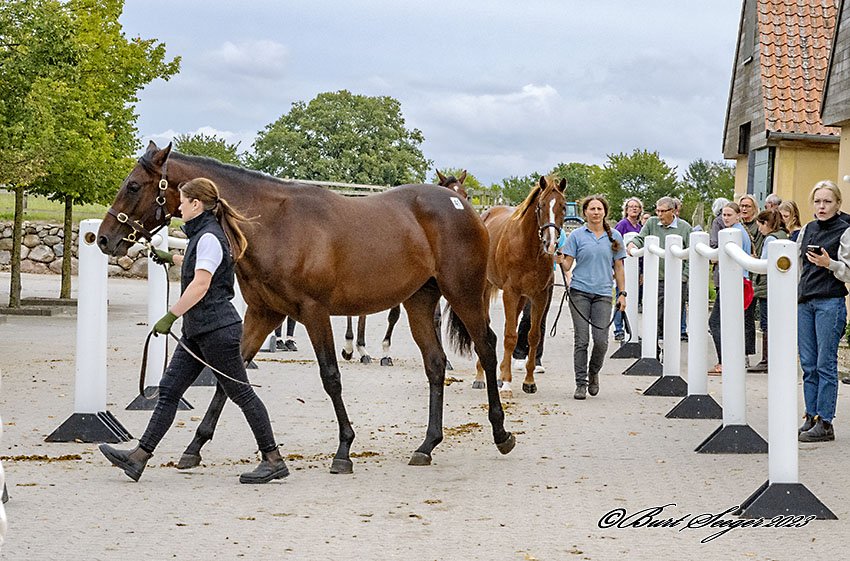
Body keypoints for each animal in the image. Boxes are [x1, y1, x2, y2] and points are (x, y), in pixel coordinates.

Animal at [340, 168, 470, 366]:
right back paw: (352, 348)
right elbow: (394, 315)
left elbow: (436, 318)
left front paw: (446, 360)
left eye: (466, 195)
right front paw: (385, 352)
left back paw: (361, 350)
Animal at [470, 175, 564, 394]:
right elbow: (510, 336)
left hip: (521, 298)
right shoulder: (510, 293)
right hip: (487, 290)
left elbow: (533, 336)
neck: (527, 248)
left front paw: (529, 381)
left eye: (563, 206)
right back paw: (480, 376)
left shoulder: (539, 296)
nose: (551, 243)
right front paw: (506, 382)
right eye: (541, 206)